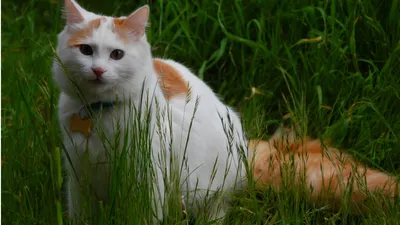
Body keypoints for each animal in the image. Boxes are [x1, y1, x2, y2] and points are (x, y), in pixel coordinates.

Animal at [52, 0, 247, 223]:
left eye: (117, 54)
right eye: (85, 49)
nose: (98, 70)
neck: (99, 110)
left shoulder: (147, 176)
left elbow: (145, 214)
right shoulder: (79, 172)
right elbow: (80, 213)